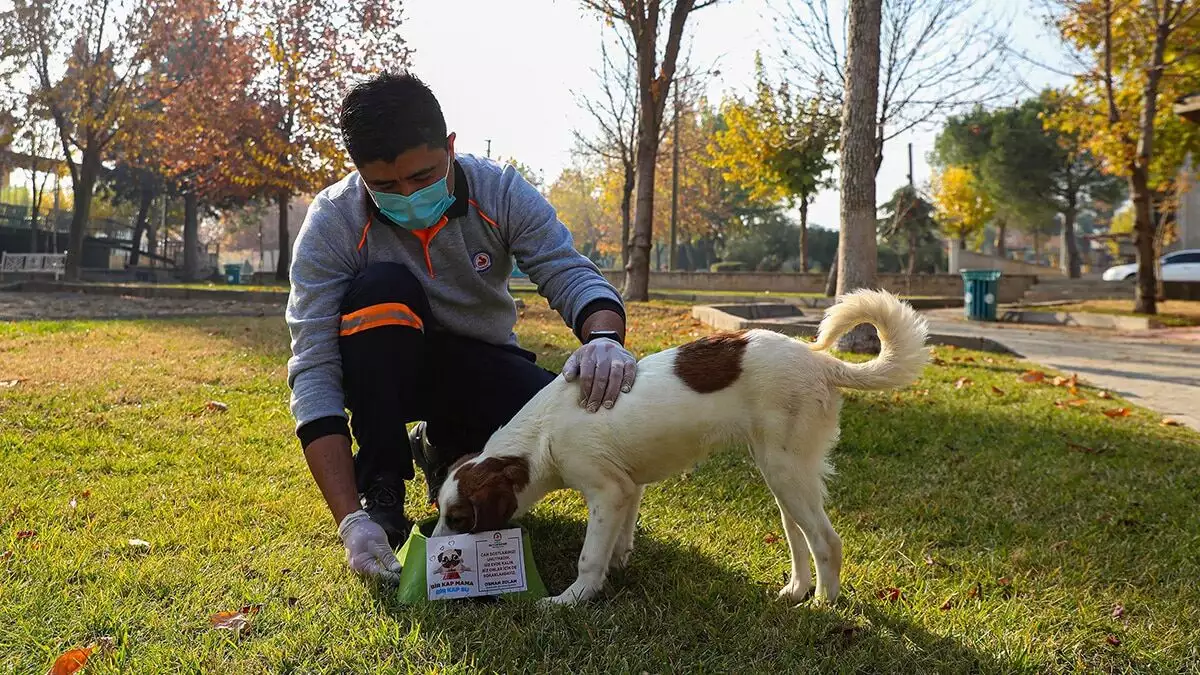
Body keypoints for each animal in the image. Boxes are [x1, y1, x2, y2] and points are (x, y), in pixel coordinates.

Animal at [432, 289, 926, 605]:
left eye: (458, 519)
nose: (435, 552)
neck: (543, 433)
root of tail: (821, 360)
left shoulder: (606, 489)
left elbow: (589, 556)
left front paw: (572, 599)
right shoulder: (628, 487)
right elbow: (619, 539)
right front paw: (617, 566)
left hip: (787, 471)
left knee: (827, 539)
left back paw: (823, 603)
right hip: (781, 472)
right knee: (798, 535)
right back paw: (796, 590)